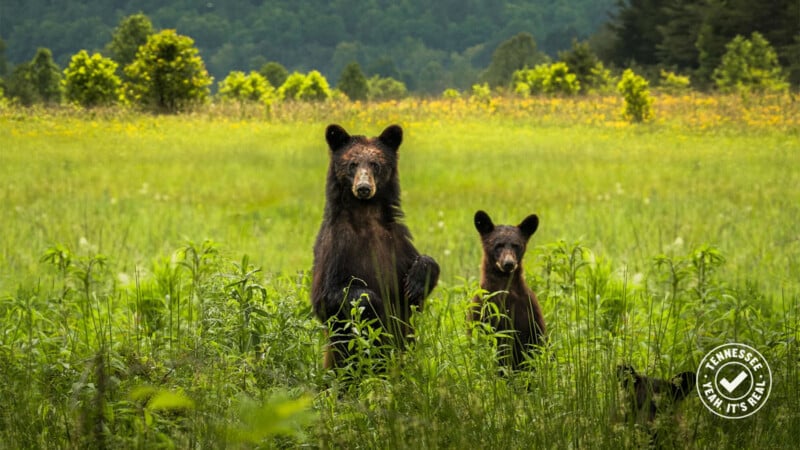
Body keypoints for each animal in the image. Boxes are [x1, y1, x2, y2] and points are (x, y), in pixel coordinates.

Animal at [311, 124, 440, 369]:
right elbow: (327, 297)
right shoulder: (336, 247)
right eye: (352, 163)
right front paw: (372, 306)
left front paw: (416, 281)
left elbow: (420, 275)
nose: (363, 187)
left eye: (375, 164)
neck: (365, 215)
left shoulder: (395, 241)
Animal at [469, 210, 546, 371]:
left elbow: (537, 341)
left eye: (516, 245)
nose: (508, 263)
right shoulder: (482, 312)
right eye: (498, 245)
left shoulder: (529, 311)